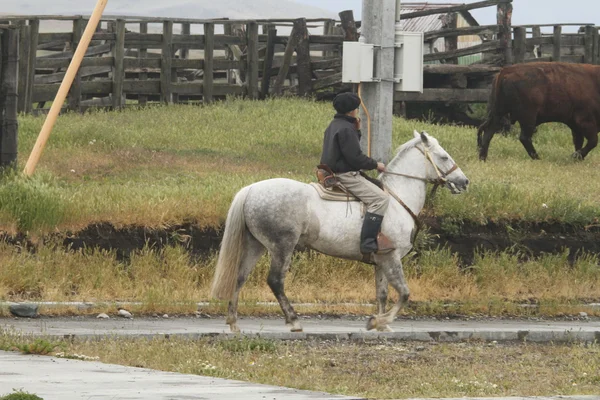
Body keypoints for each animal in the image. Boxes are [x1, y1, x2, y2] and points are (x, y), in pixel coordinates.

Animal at [211, 130, 468, 332]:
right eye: (443, 156)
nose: (464, 182)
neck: (396, 199)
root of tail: (251, 190)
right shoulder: (392, 257)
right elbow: (404, 293)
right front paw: (380, 321)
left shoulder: (381, 261)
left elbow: (382, 293)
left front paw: (380, 324)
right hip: (281, 246)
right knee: (275, 281)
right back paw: (294, 321)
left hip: (256, 244)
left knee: (240, 276)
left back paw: (233, 322)